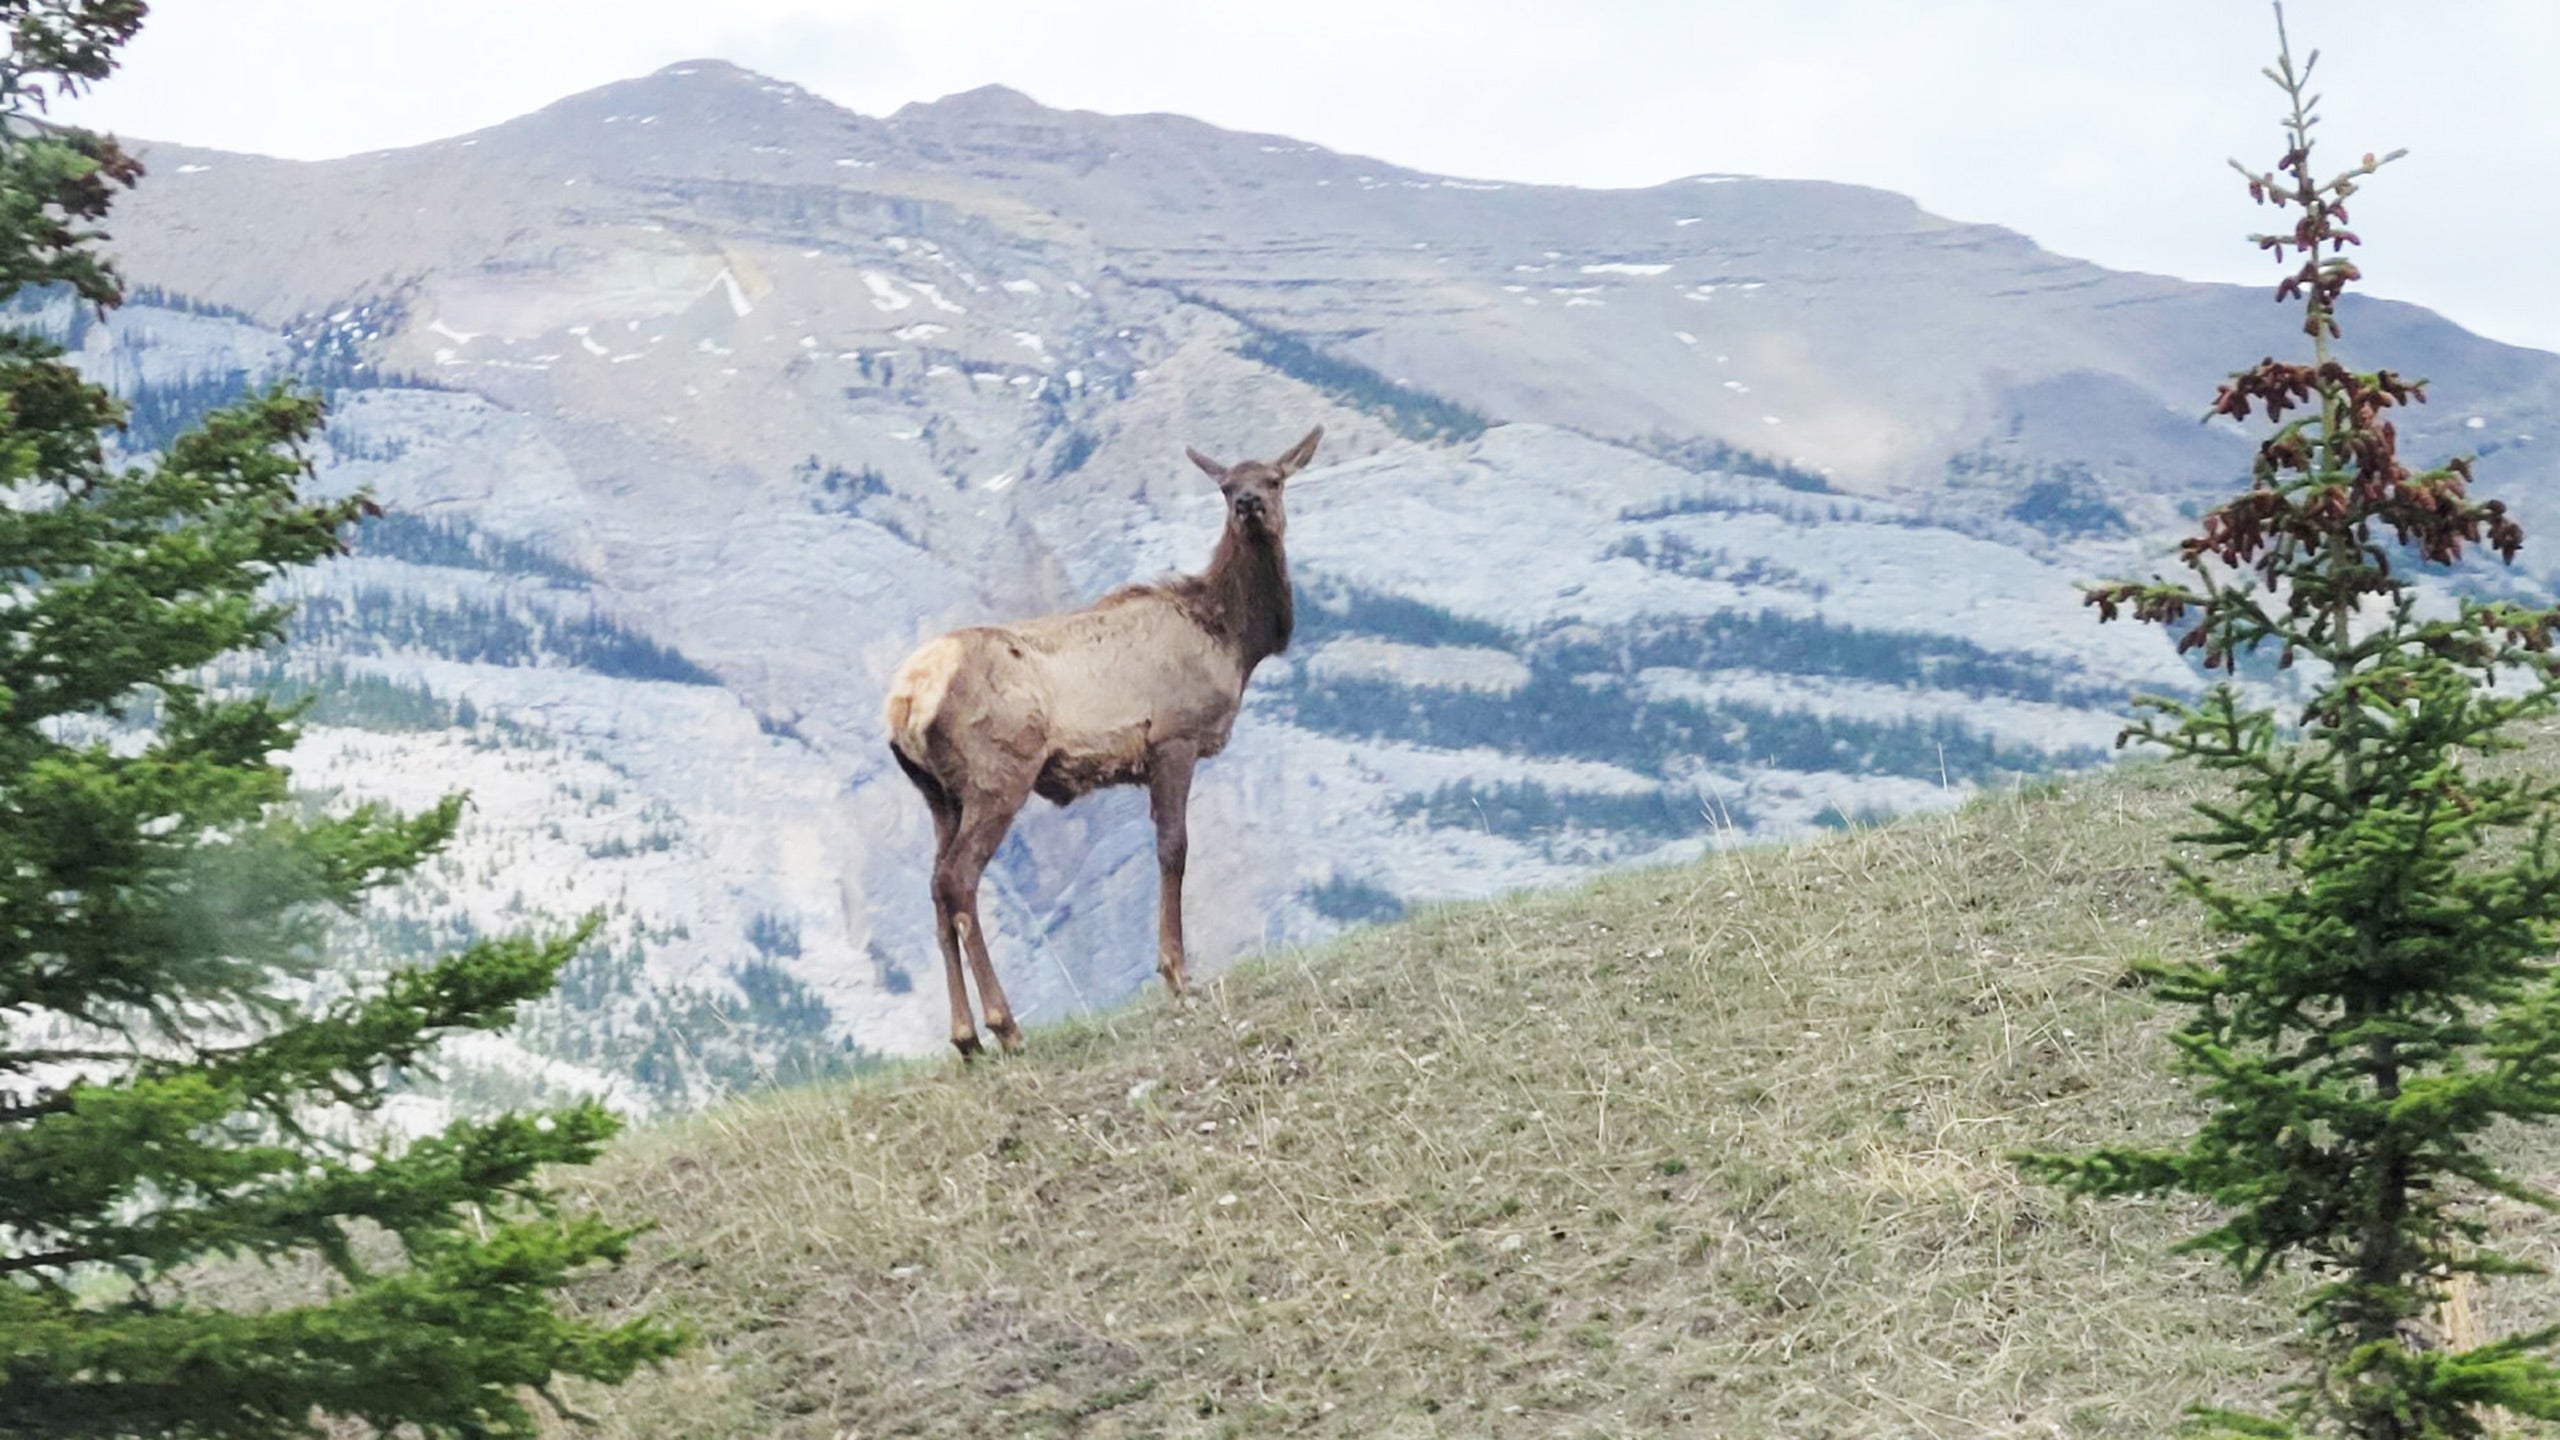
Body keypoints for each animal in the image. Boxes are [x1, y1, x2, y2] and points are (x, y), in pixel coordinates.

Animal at [880, 425, 1320, 1055]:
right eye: (1225, 485)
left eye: (1275, 479)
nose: (1248, 505)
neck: (1234, 640)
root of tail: (906, 703)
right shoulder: (1173, 740)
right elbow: (1173, 849)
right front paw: (1176, 972)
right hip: (999, 776)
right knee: (960, 881)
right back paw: (1004, 1025)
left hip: (938, 796)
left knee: (937, 889)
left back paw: (965, 1039)